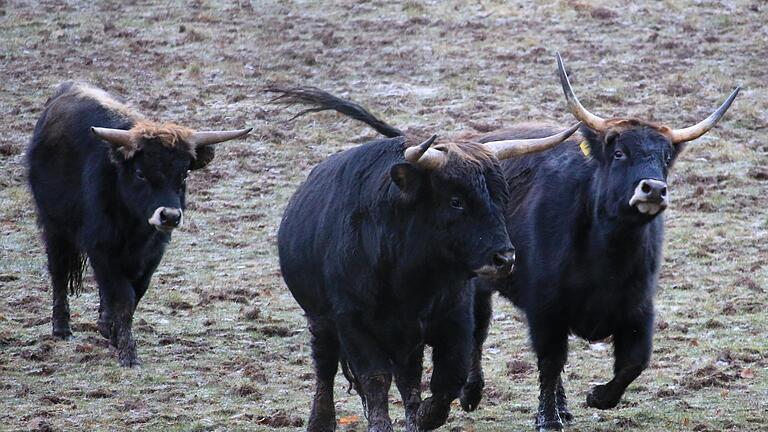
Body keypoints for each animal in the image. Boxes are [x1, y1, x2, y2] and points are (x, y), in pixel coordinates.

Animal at [25, 80, 249, 364]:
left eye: (184, 174)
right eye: (141, 173)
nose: (170, 216)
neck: (133, 226)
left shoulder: (152, 253)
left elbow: (135, 291)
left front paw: (110, 329)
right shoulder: (100, 247)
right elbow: (123, 296)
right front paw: (127, 352)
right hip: (54, 226)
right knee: (59, 271)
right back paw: (61, 327)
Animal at [268, 88, 580, 432]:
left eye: (502, 197)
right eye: (456, 201)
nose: (505, 258)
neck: (408, 276)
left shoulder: (452, 318)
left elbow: (446, 378)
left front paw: (423, 416)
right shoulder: (353, 322)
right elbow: (375, 379)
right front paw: (383, 424)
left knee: (408, 378)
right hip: (320, 318)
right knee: (325, 365)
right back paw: (320, 421)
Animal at [462, 55, 736, 430]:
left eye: (665, 158)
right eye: (619, 153)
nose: (653, 189)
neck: (607, 254)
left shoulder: (638, 308)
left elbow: (634, 362)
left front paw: (597, 397)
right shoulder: (546, 307)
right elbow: (550, 361)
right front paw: (548, 419)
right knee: (477, 331)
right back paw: (471, 394)